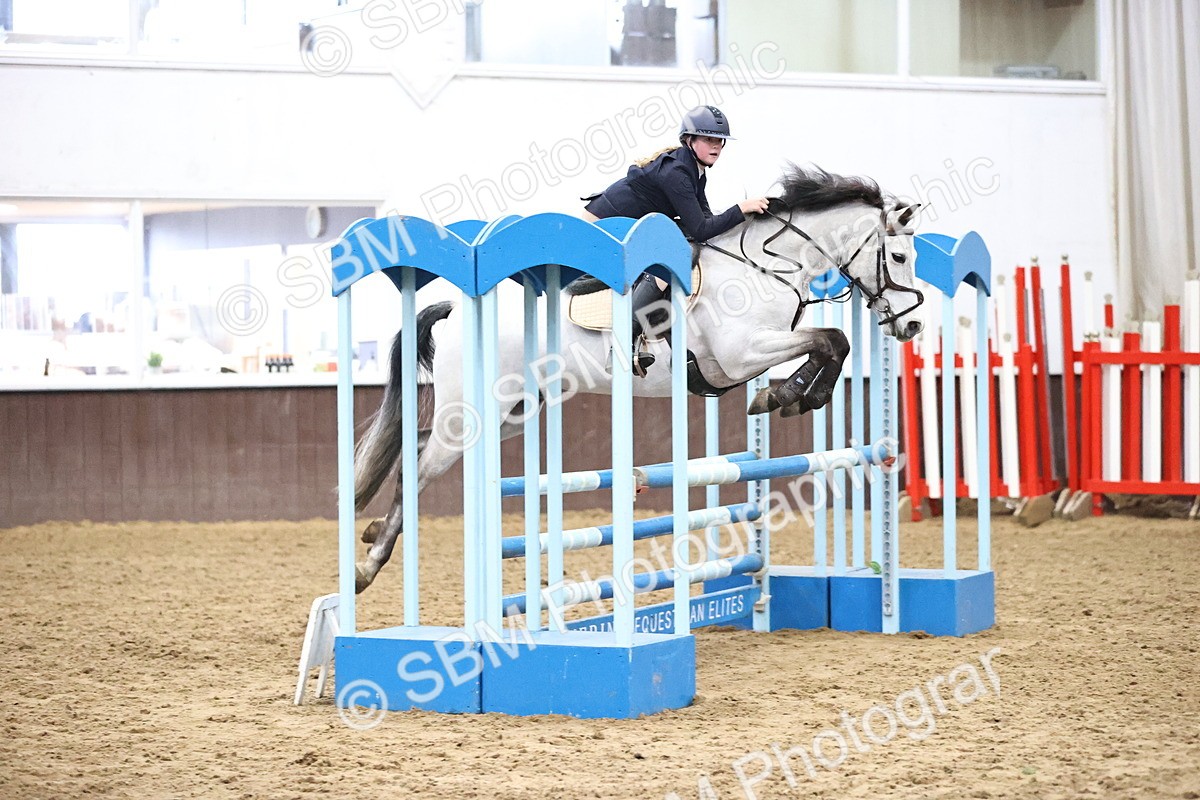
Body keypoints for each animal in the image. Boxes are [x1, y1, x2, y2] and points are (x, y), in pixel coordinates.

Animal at [351, 165, 925, 592]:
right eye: (898, 256)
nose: (913, 325)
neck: (764, 266)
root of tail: (455, 310)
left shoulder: (751, 354)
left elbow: (831, 342)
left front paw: (782, 397)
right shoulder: (740, 355)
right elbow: (830, 340)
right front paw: (785, 395)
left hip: (513, 411)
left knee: (416, 444)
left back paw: (374, 532)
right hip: (472, 411)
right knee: (421, 467)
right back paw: (368, 566)